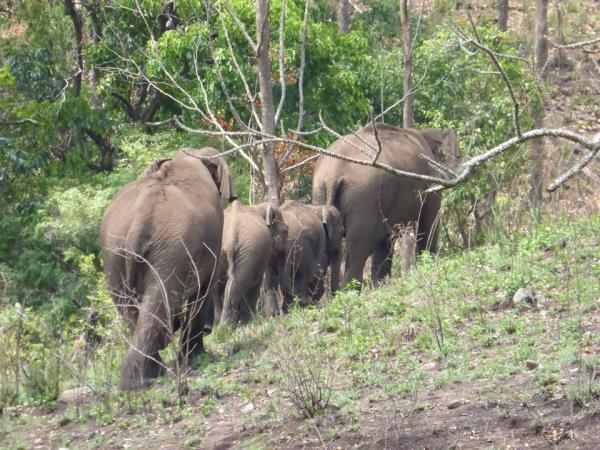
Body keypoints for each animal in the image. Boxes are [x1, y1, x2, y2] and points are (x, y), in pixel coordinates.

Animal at [100, 147, 236, 390]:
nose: (209, 329)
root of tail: (140, 220)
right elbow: (204, 289)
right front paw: (197, 357)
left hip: (114, 253)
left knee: (131, 309)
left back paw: (140, 378)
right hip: (171, 249)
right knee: (158, 300)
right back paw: (145, 378)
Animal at [312, 124, 460, 289]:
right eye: (459, 156)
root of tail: (333, 174)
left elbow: (386, 240)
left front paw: (380, 286)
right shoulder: (430, 181)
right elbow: (428, 223)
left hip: (320, 192)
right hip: (364, 197)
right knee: (358, 249)